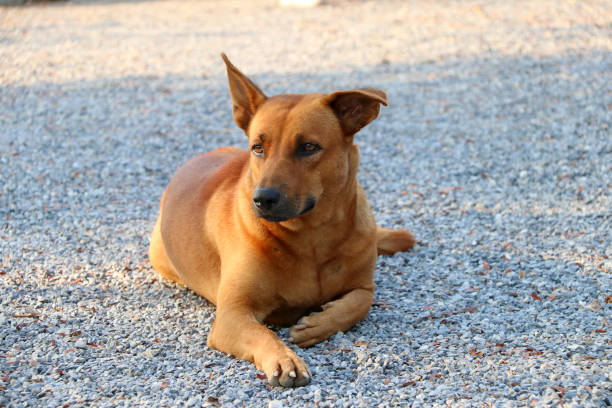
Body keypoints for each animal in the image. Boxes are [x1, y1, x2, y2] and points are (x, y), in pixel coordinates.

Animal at [149, 55, 416, 388]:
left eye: (309, 147)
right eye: (258, 147)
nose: (263, 198)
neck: (312, 236)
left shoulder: (364, 287)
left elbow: (358, 305)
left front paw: (317, 324)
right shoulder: (232, 315)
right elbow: (262, 334)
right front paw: (283, 358)